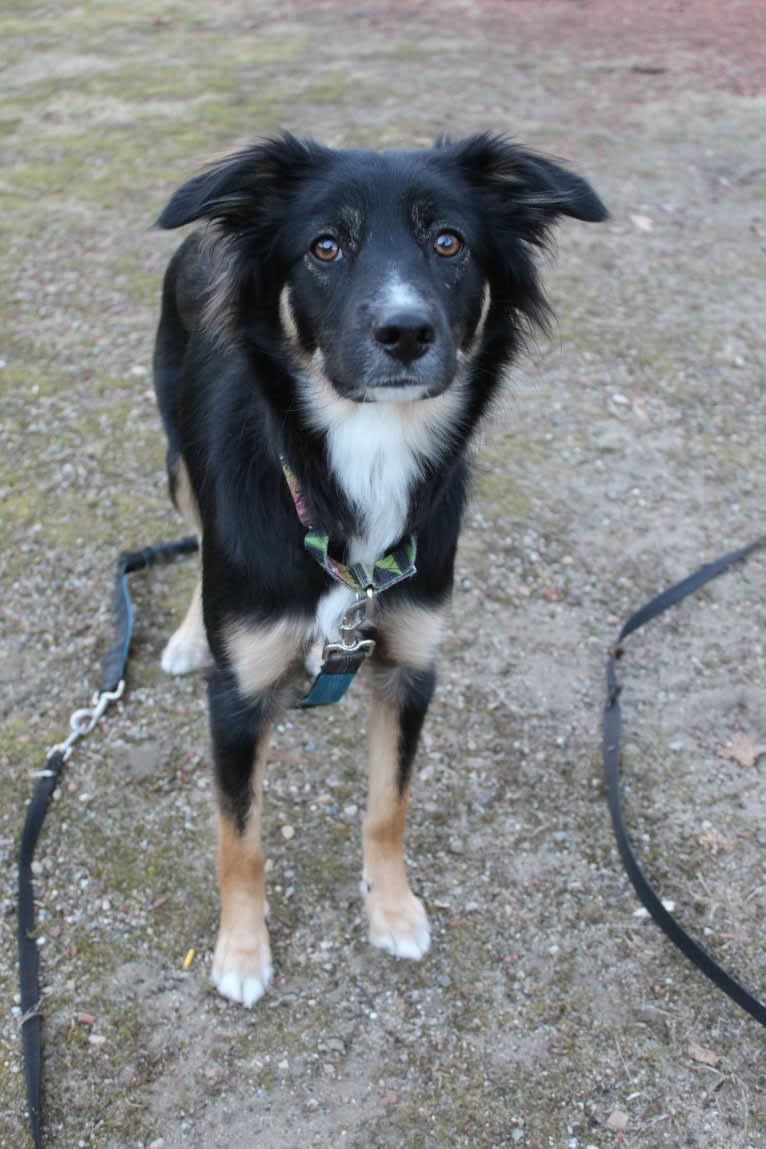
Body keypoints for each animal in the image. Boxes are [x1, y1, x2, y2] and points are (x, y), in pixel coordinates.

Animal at [152, 132, 606, 1006]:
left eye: (449, 243)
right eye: (325, 247)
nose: (405, 332)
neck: (363, 457)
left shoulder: (410, 666)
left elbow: (387, 806)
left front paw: (392, 911)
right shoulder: (236, 699)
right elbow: (240, 839)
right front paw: (242, 952)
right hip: (177, 460)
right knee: (195, 540)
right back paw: (191, 633)